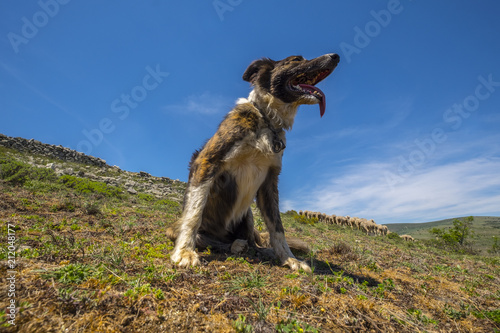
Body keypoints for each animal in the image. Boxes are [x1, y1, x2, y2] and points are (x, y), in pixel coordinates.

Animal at [168, 52, 340, 270]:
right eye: (296, 60)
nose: (335, 56)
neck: (267, 119)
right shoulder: (207, 161)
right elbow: (194, 214)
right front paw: (184, 251)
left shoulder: (269, 181)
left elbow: (277, 228)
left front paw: (289, 258)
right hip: (179, 228)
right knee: (212, 239)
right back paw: (233, 246)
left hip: (247, 215)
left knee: (252, 242)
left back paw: (261, 250)